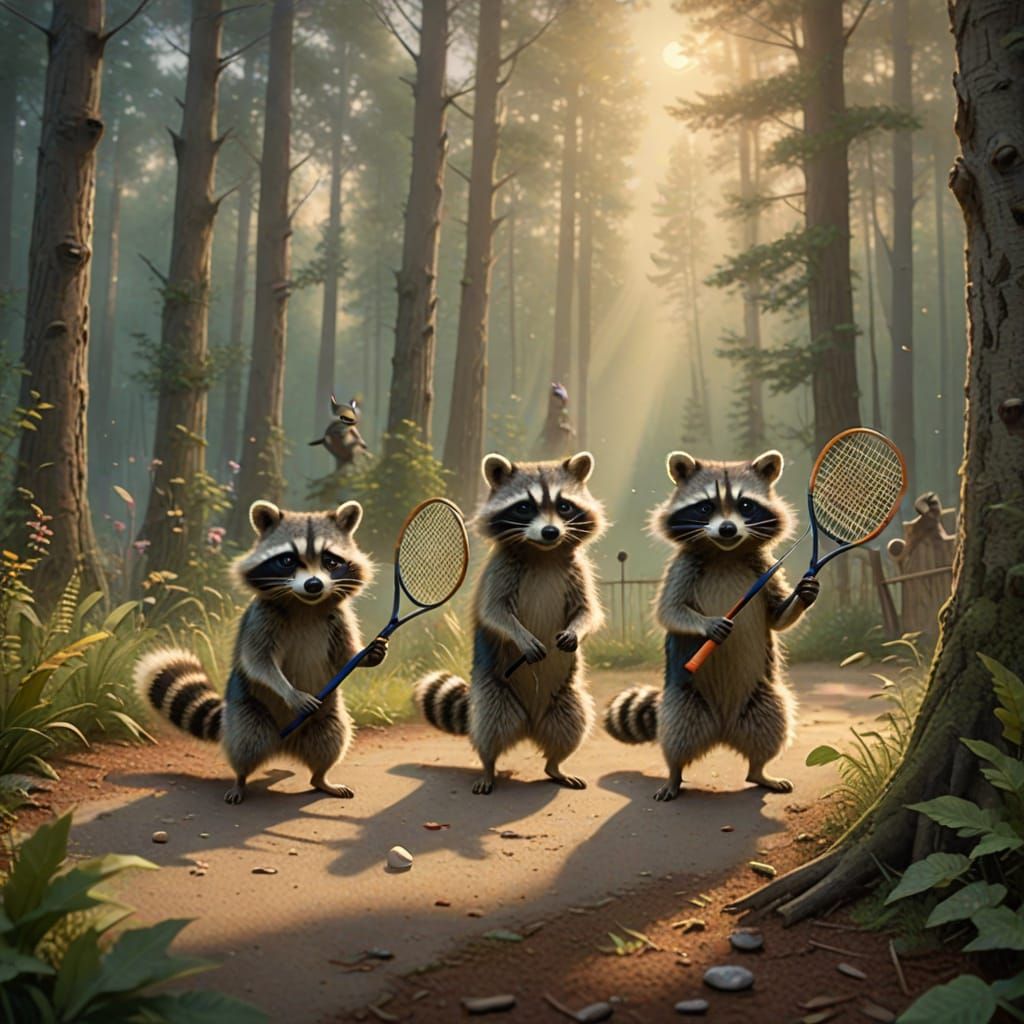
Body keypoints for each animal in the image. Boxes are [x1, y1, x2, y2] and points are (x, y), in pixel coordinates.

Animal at [133, 500, 387, 804]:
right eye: (287, 560)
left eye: (331, 561)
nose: (314, 585)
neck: (306, 605)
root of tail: (285, 744)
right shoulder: (261, 617)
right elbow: (258, 661)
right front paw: (290, 692)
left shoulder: (339, 617)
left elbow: (345, 655)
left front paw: (370, 654)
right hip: (247, 710)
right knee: (247, 743)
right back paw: (240, 779)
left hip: (327, 714)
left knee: (331, 738)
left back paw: (321, 777)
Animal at [414, 452, 606, 795]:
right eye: (524, 507)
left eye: (564, 506)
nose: (550, 532)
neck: (543, 553)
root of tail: (530, 725)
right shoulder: (500, 570)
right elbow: (495, 613)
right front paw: (521, 635)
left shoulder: (578, 570)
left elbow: (588, 610)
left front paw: (577, 630)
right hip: (494, 691)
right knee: (489, 729)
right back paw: (488, 767)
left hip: (566, 699)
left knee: (573, 725)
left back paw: (556, 765)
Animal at [603, 450, 819, 801]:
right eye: (705, 507)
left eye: (746, 505)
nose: (728, 529)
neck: (725, 553)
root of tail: (722, 729)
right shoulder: (683, 566)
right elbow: (669, 611)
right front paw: (708, 625)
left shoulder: (762, 566)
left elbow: (776, 617)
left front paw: (805, 593)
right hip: (683, 699)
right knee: (676, 735)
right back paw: (674, 774)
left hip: (762, 697)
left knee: (773, 724)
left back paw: (760, 770)